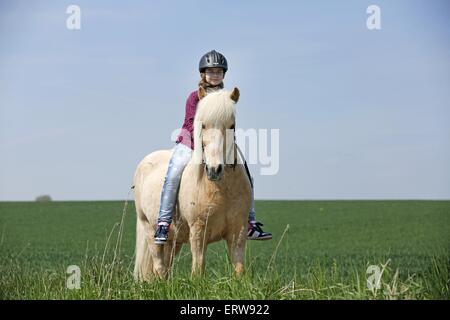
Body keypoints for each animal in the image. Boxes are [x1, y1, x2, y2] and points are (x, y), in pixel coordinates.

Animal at [134, 87, 253, 280]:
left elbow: (239, 269)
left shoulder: (238, 231)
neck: (221, 189)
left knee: (165, 266)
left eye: (232, 126)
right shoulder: (198, 230)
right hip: (150, 230)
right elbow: (198, 269)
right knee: (159, 266)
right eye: (202, 125)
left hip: (173, 240)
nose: (214, 169)